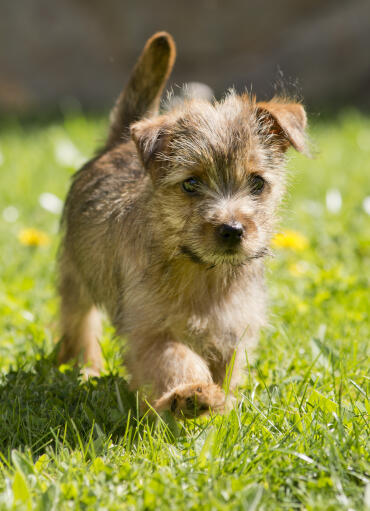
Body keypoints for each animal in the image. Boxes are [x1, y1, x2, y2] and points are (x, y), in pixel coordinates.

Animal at [57, 32, 306, 418]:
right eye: (190, 184)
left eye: (257, 183)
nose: (233, 230)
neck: (204, 273)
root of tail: (118, 144)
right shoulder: (150, 329)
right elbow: (175, 359)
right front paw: (191, 394)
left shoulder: (233, 328)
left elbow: (227, 372)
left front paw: (222, 409)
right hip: (75, 277)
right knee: (78, 324)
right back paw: (84, 368)